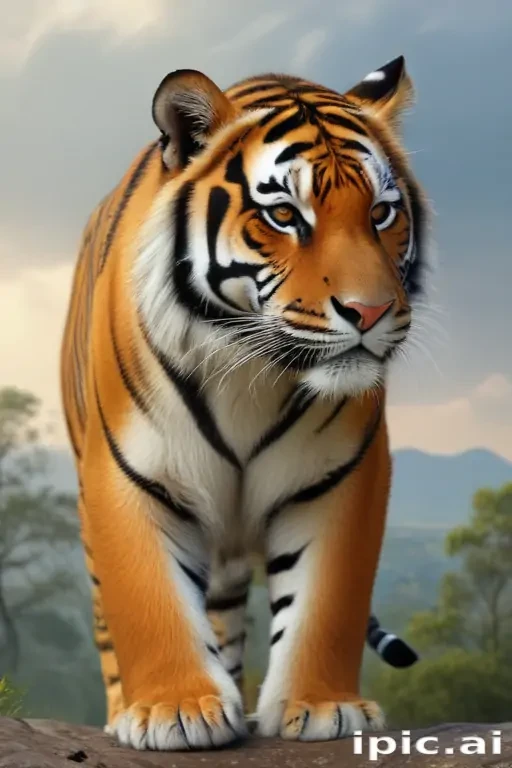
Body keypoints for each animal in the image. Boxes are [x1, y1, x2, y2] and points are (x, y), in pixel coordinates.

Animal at [60, 54, 429, 750]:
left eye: (381, 214)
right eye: (284, 215)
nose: (370, 313)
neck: (249, 368)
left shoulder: (343, 474)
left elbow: (326, 601)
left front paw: (320, 706)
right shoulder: (127, 472)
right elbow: (148, 595)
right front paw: (174, 710)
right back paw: (129, 708)